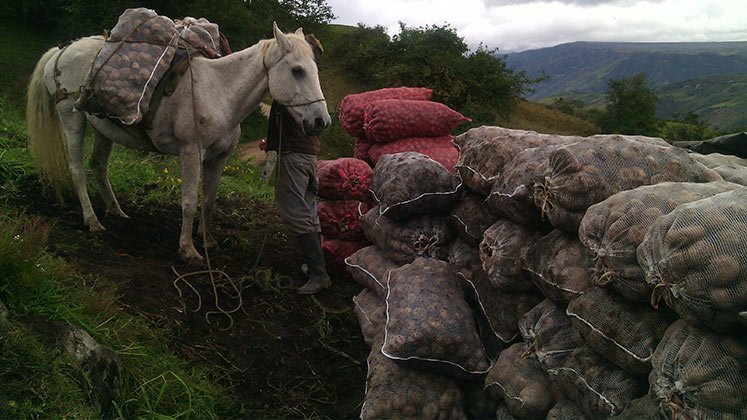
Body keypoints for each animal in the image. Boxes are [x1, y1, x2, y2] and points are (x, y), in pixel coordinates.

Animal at [27, 23, 330, 262]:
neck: (220, 92)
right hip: (72, 118)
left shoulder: (218, 159)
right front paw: (188, 250)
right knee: (77, 169)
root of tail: (62, 50)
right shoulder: (191, 153)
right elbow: (188, 202)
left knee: (99, 166)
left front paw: (208, 242)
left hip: (103, 129)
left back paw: (116, 211)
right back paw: (92, 221)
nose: (321, 121)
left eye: (315, 70)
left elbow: (208, 202)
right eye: (297, 71)